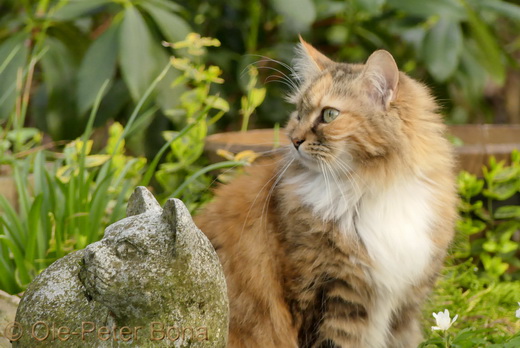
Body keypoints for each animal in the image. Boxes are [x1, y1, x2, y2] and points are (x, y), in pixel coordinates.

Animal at [194, 38, 456, 348]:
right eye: (298, 113)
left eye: (329, 115)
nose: (294, 139)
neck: (372, 189)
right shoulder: (327, 297)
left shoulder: (405, 307)